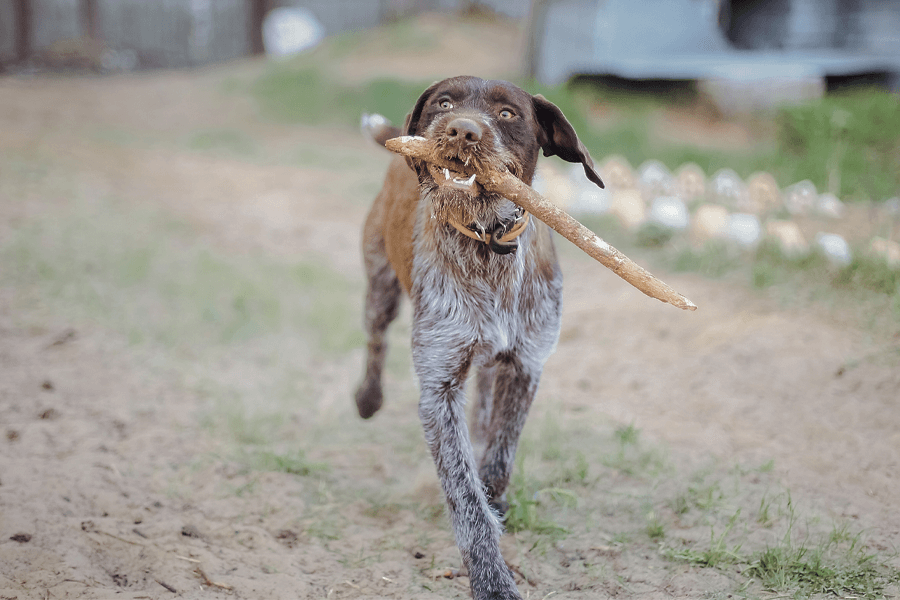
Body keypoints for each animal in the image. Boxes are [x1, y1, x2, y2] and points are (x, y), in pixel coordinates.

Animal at [356, 76, 600, 600]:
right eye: (444, 103)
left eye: (508, 114)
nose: (461, 131)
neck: (488, 246)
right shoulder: (439, 386)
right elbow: (465, 499)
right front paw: (491, 582)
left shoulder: (526, 365)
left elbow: (499, 458)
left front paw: (496, 494)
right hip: (380, 288)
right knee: (375, 341)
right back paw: (368, 398)